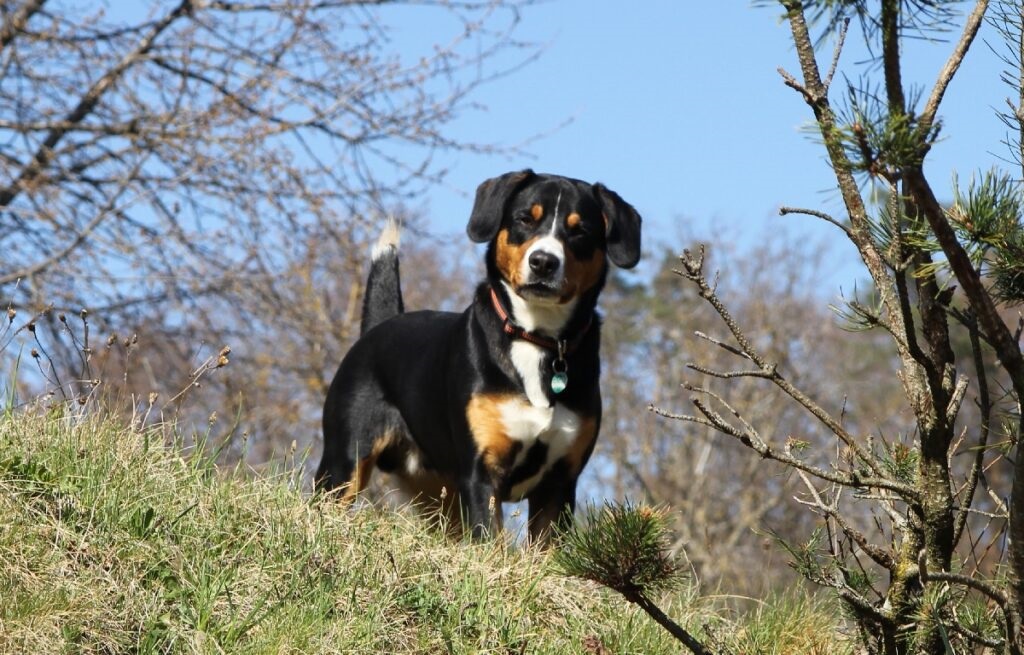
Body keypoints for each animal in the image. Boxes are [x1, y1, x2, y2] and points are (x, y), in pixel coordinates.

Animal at [315, 169, 643, 540]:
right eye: (525, 219)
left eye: (579, 230)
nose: (544, 262)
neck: (536, 339)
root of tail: (380, 325)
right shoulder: (482, 472)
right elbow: (491, 538)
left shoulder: (558, 483)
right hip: (344, 463)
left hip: (438, 495)